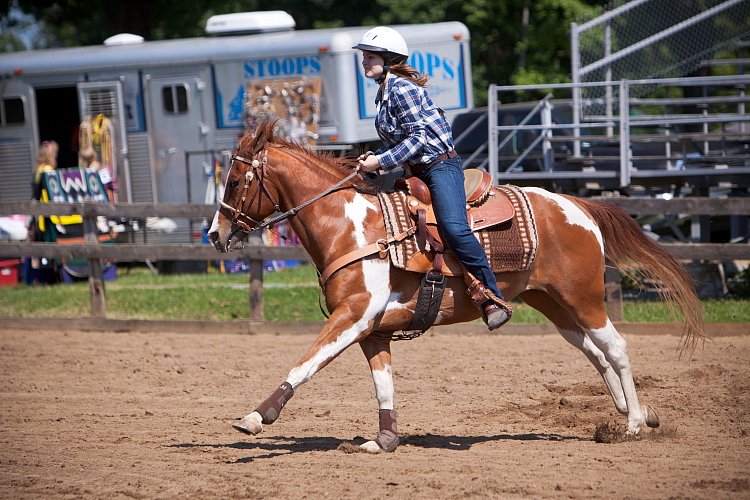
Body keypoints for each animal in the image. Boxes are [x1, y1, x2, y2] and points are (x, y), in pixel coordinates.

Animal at [209, 121, 708, 454]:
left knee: (616, 348)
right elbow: (383, 383)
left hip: (585, 299)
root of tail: (576, 204)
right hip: (554, 304)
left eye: (233, 181)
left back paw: (634, 425)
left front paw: (255, 417)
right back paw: (632, 413)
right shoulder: (373, 329)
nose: (214, 235)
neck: (350, 226)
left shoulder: (353, 315)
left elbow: (307, 363)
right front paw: (384, 440)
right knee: (595, 353)